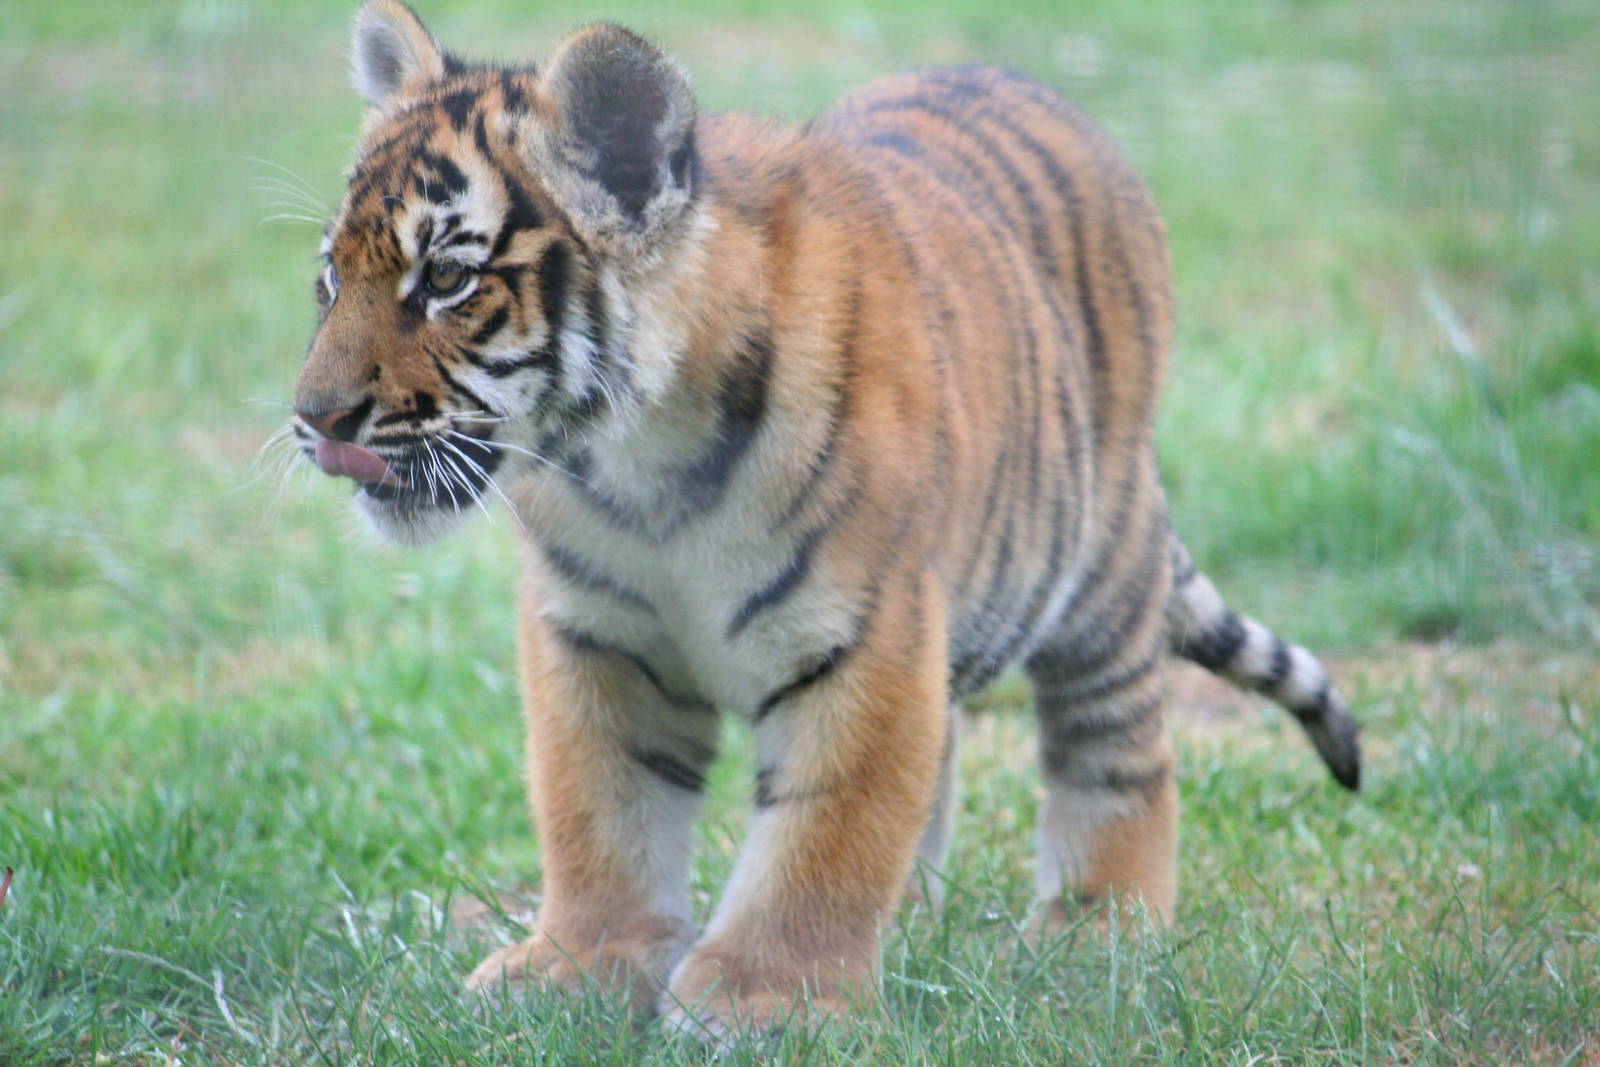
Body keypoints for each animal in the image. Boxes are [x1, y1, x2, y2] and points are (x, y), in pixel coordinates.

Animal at [287, 0, 1361, 1040]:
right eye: (332, 276)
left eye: (447, 280)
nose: (313, 420)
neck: (636, 466)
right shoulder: (593, 634)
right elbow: (598, 808)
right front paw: (579, 968)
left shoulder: (868, 634)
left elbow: (829, 830)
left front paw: (765, 1002)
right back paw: (924, 916)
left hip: (1101, 569)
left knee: (1121, 745)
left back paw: (1098, 934)